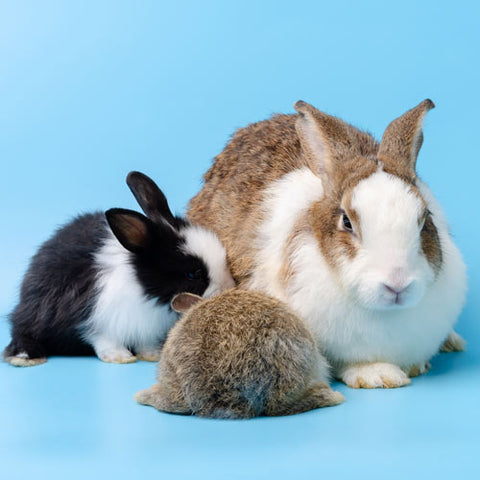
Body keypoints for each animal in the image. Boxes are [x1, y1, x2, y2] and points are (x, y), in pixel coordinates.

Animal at [1, 171, 234, 366]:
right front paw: (120, 357)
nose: (229, 287)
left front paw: (151, 355)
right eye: (193, 274)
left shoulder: (144, 327)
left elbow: (144, 342)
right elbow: (102, 339)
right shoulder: (95, 318)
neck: (144, 288)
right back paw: (25, 357)